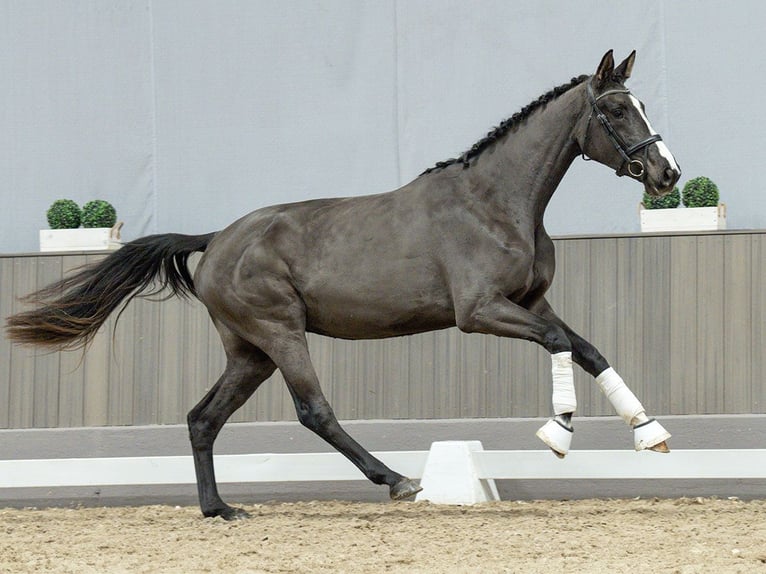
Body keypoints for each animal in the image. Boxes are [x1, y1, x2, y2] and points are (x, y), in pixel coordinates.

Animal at [7, 51, 684, 520]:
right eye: (616, 110)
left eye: (643, 106)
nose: (666, 174)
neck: (495, 201)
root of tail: (217, 238)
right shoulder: (482, 311)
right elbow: (561, 344)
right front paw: (558, 435)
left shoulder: (530, 302)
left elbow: (588, 348)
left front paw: (649, 433)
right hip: (280, 333)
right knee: (314, 411)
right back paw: (398, 480)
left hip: (249, 352)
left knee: (203, 419)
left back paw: (219, 509)